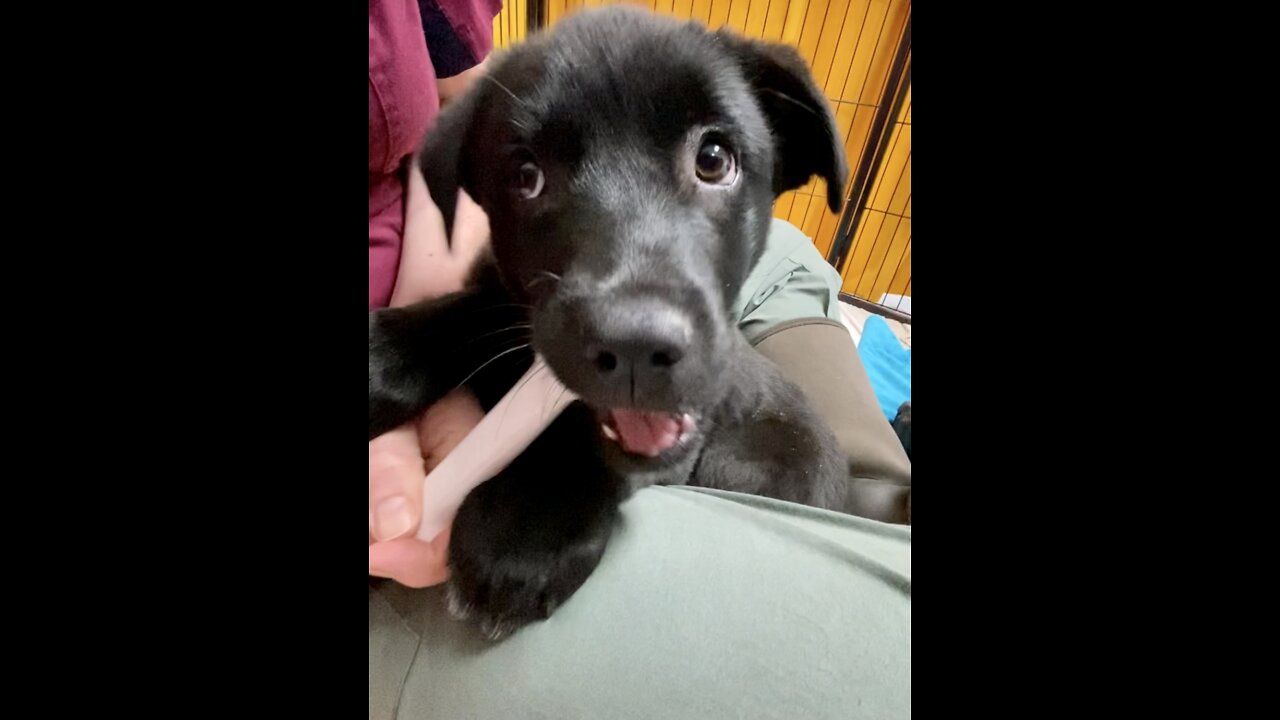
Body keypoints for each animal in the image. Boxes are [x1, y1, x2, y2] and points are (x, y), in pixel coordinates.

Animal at [371, 7, 849, 638]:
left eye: (714, 159)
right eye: (526, 176)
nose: (634, 350)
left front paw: (528, 523)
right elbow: (474, 312)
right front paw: (384, 352)